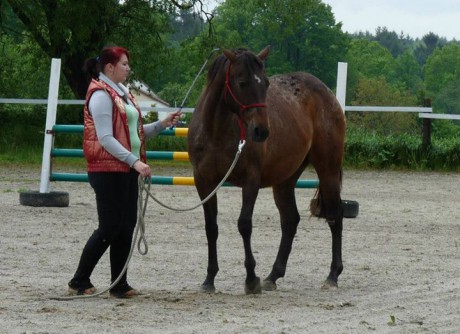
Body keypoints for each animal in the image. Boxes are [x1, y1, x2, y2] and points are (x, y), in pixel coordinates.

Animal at [187, 45, 344, 294]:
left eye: (266, 83)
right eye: (242, 82)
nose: (261, 131)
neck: (217, 131)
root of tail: (327, 92)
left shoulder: (251, 180)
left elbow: (244, 224)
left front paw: (251, 279)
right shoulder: (204, 182)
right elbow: (211, 227)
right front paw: (209, 279)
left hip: (328, 169)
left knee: (335, 215)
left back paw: (332, 275)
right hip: (285, 180)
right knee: (290, 220)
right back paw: (273, 275)